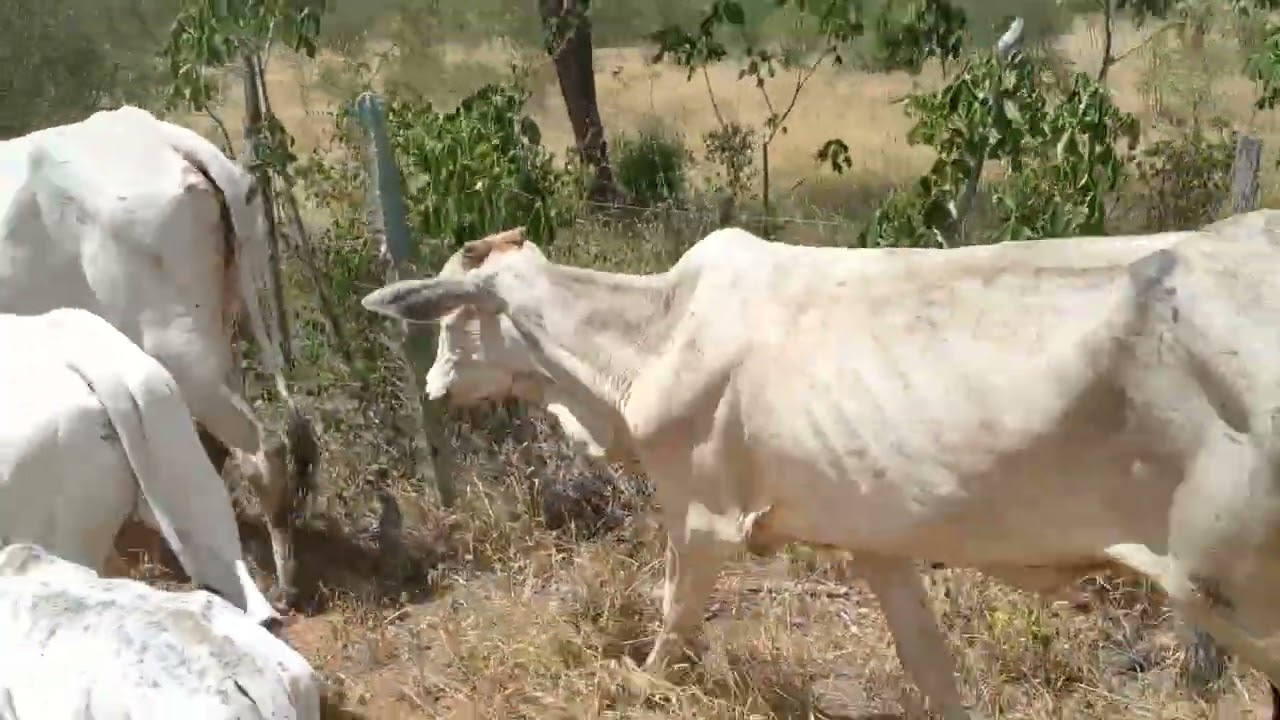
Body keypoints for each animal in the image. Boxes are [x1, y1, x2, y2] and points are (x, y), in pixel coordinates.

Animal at [361, 221, 1280, 719]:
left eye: (454, 317)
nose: (434, 386)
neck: (646, 340)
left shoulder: (701, 518)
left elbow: (670, 628)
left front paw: (642, 688)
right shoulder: (878, 539)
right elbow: (929, 664)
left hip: (1235, 592)